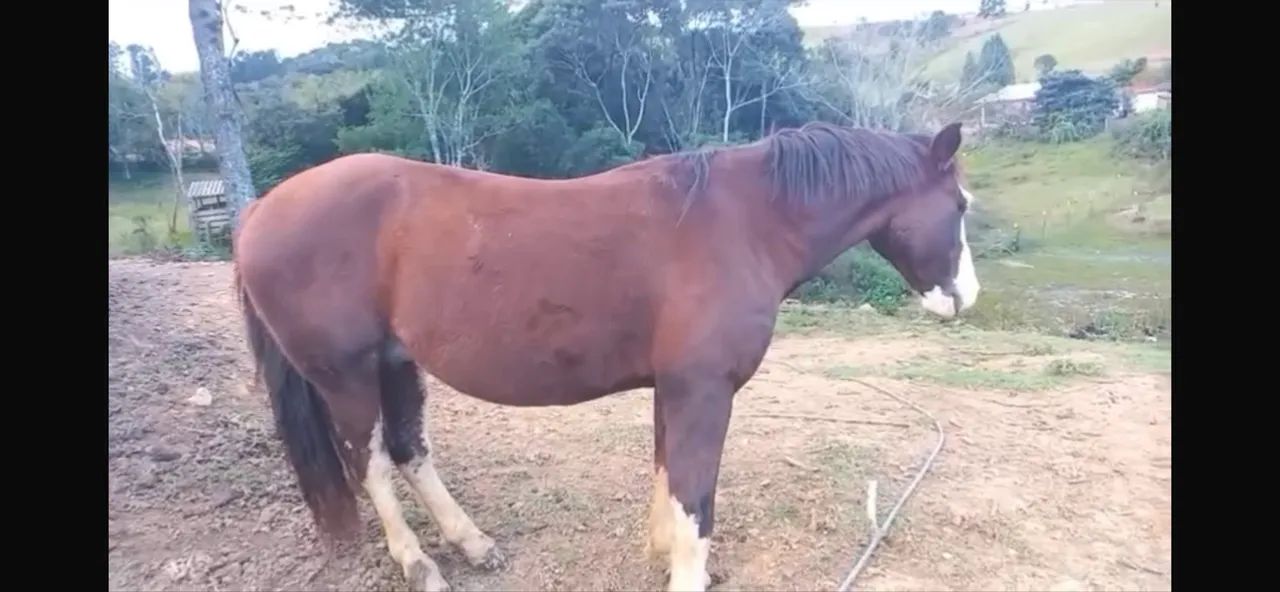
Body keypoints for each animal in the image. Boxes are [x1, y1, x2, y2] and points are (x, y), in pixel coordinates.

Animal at [232, 120, 981, 592]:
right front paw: (687, 571)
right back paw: (420, 566)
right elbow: (695, 495)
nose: (965, 296)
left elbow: (666, 474)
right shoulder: (704, 391)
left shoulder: (674, 389)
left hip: (396, 363)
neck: (745, 224)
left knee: (410, 451)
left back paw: (472, 543)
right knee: (372, 465)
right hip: (347, 376)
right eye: (962, 204)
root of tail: (259, 213)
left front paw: (662, 554)